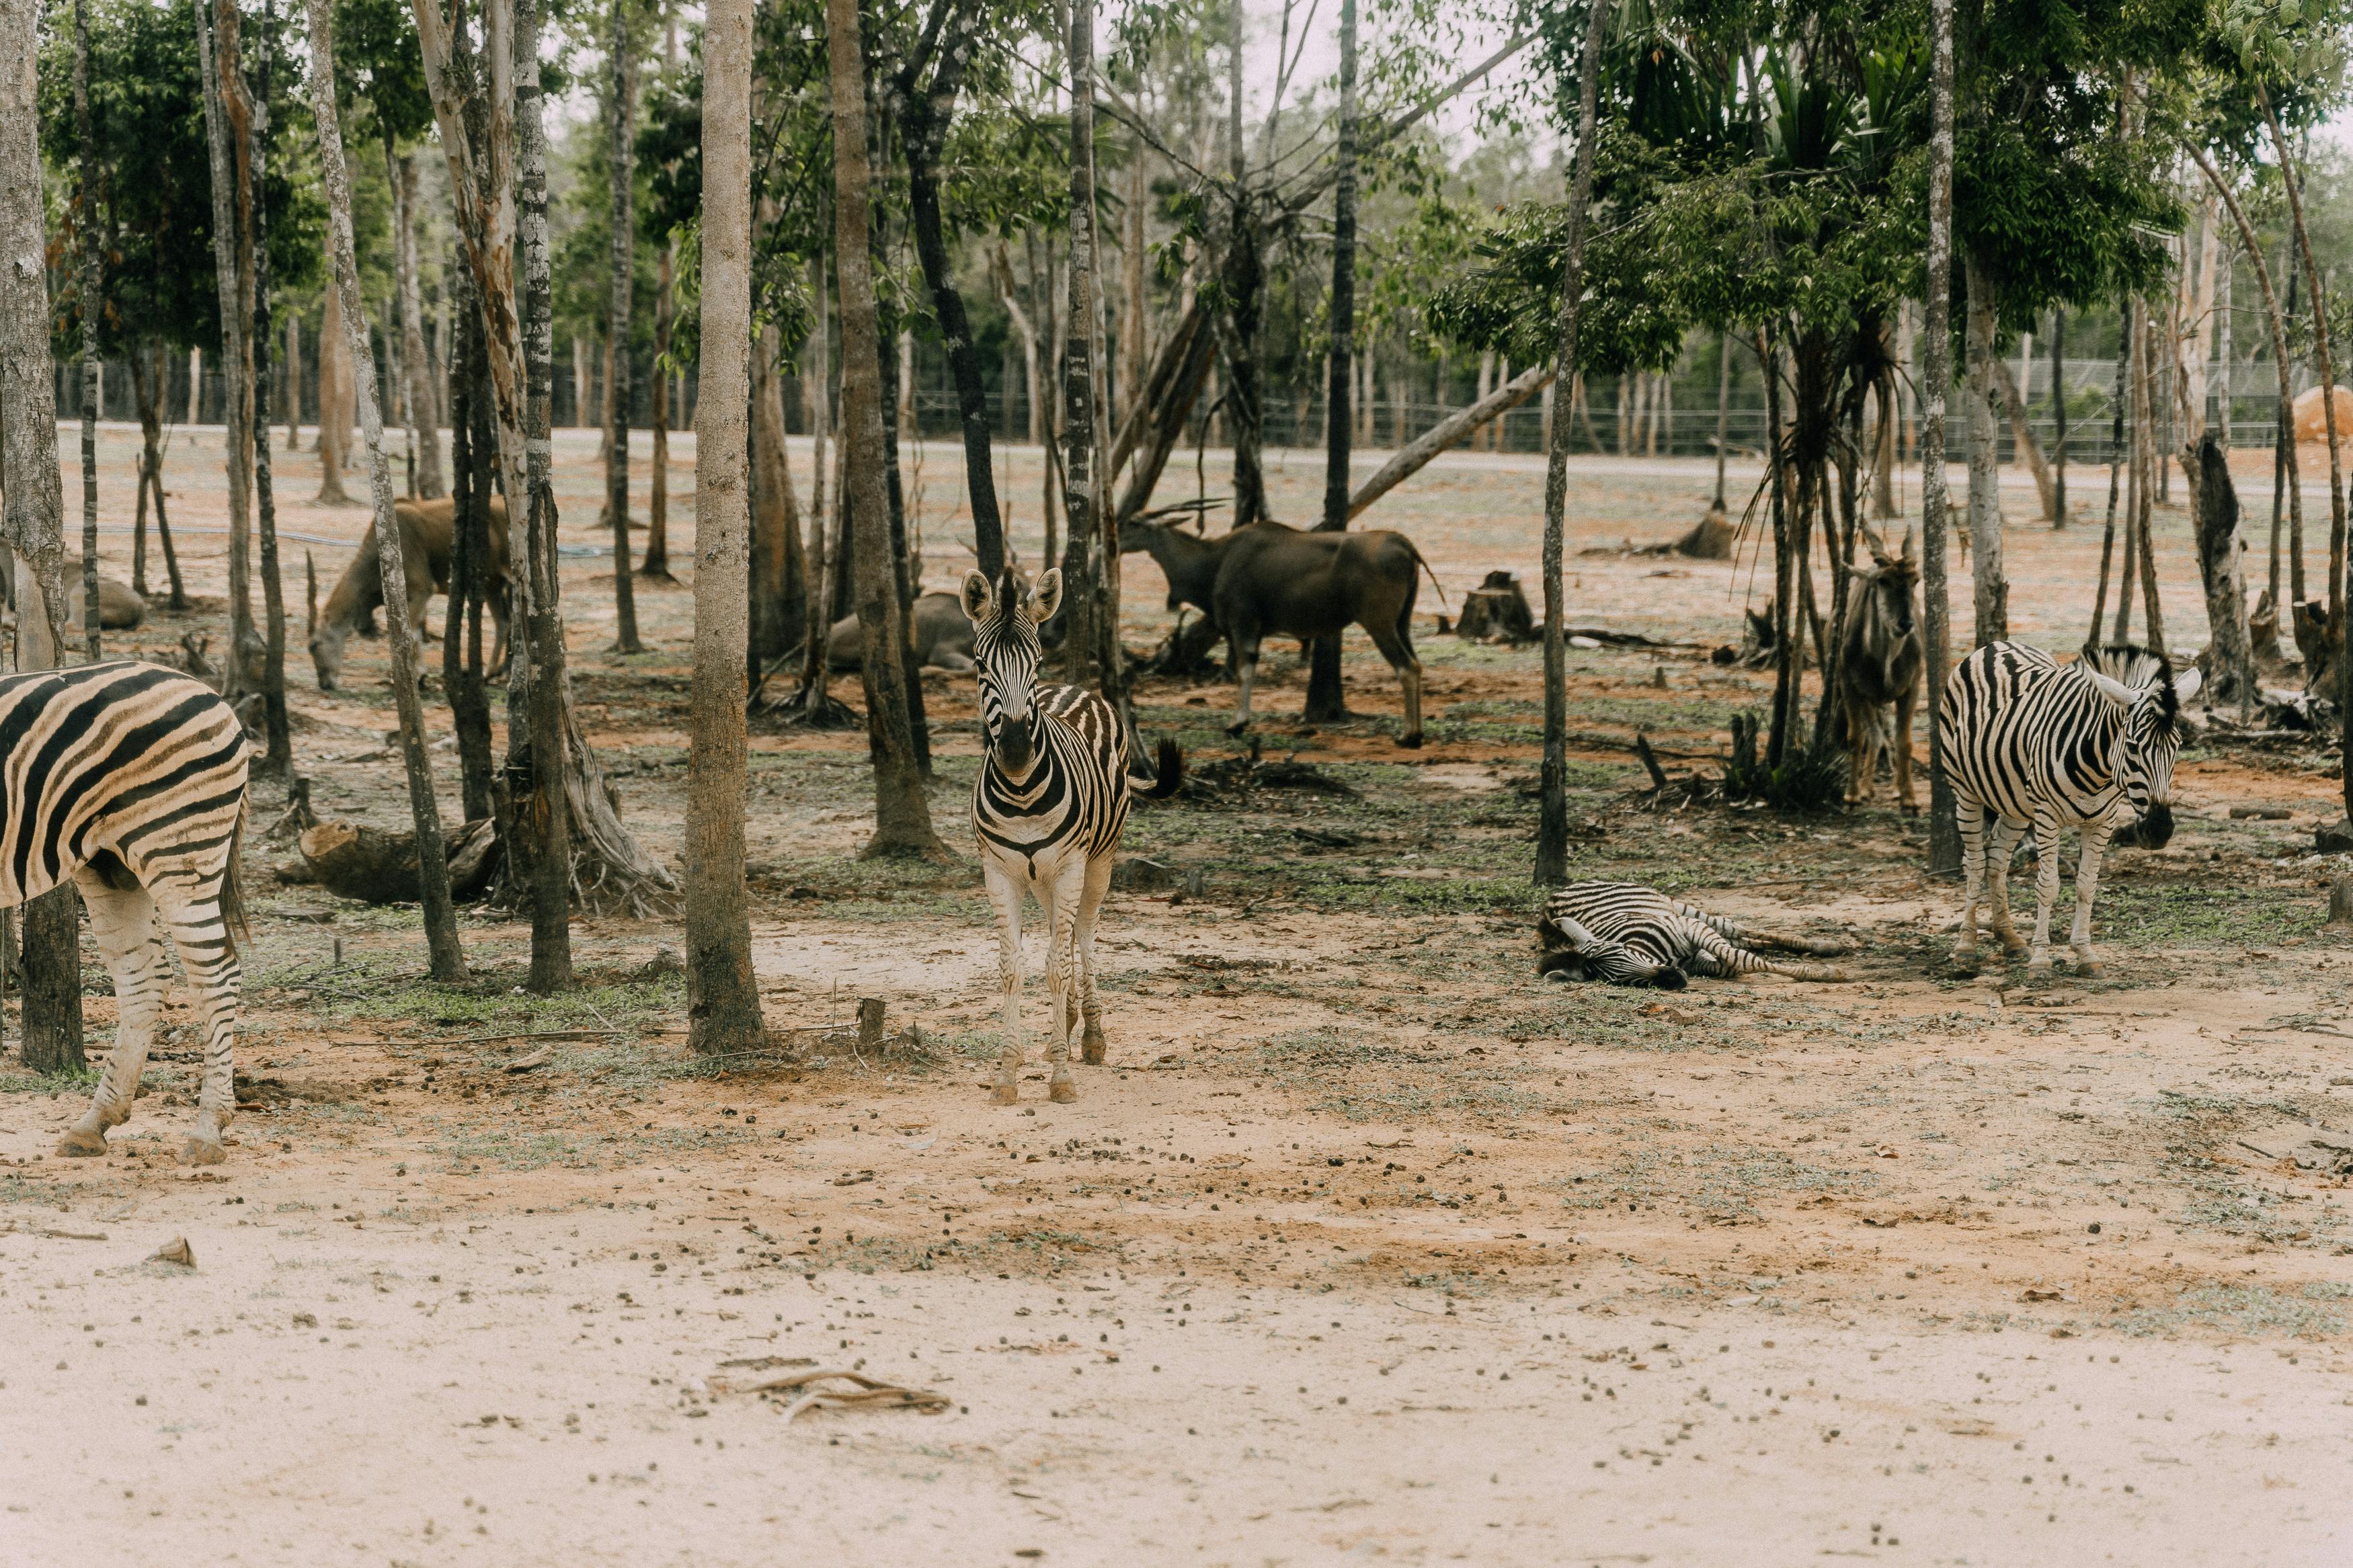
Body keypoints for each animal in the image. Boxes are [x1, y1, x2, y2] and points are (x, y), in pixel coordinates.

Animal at [7, 658, 248, 1165]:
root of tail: (211, 693)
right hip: (109, 863)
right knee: (145, 977)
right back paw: (93, 1124)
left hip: (178, 846)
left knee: (216, 976)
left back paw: (207, 1132)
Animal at [960, 566, 1186, 1104]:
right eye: (980, 664)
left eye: (1037, 661)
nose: (1016, 751)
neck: (1022, 792)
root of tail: (1076, 688)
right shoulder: (999, 872)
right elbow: (1013, 966)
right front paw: (1008, 1072)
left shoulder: (1069, 867)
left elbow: (1059, 965)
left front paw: (1063, 1076)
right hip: (1042, 875)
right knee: (1056, 937)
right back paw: (1058, 1031)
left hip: (1096, 862)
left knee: (1082, 933)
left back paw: (1091, 1037)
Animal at [1544, 879, 1854, 987]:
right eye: (1620, 981)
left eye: (1624, 951)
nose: (1675, 979)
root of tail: (1556, 894)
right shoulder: (1698, 961)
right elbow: (1733, 963)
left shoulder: (1691, 928)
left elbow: (1742, 959)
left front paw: (1827, 974)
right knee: (1741, 938)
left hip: (1680, 908)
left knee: (1738, 928)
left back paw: (1824, 945)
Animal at [1939, 644, 2193, 973]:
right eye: (2133, 746)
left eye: (2177, 747)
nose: (2159, 831)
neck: (2098, 771)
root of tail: (1994, 647)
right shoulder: (2047, 816)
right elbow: (2048, 885)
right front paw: (2041, 960)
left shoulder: (2103, 821)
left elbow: (2087, 885)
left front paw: (2086, 955)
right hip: (1965, 791)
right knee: (1975, 863)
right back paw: (1966, 946)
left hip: (2015, 802)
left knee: (1997, 858)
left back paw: (2010, 938)